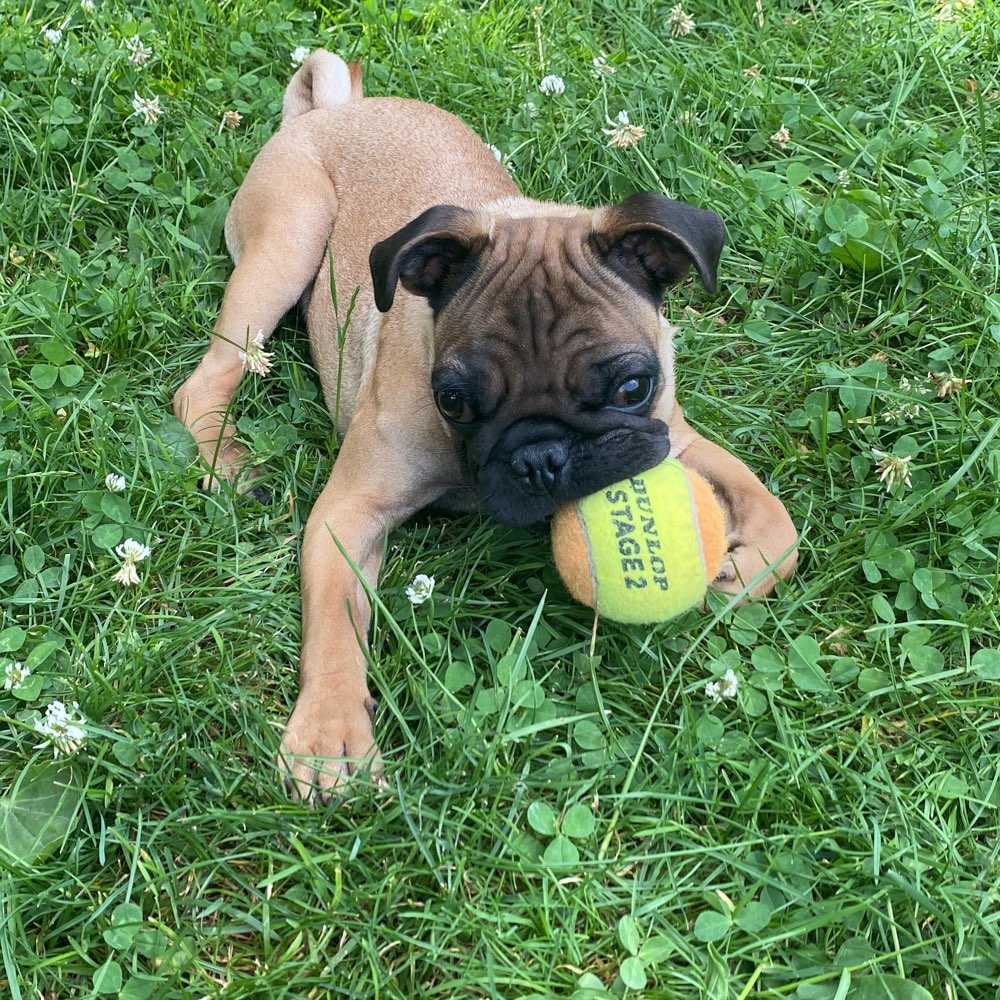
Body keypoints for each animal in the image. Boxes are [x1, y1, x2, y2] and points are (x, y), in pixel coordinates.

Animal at [172, 52, 796, 804]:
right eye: (455, 401)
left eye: (631, 387)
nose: (542, 457)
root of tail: (332, 110)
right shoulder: (347, 518)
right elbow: (336, 628)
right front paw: (329, 736)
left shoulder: (671, 432)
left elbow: (774, 512)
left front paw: (746, 566)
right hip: (287, 245)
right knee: (203, 383)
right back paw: (229, 465)